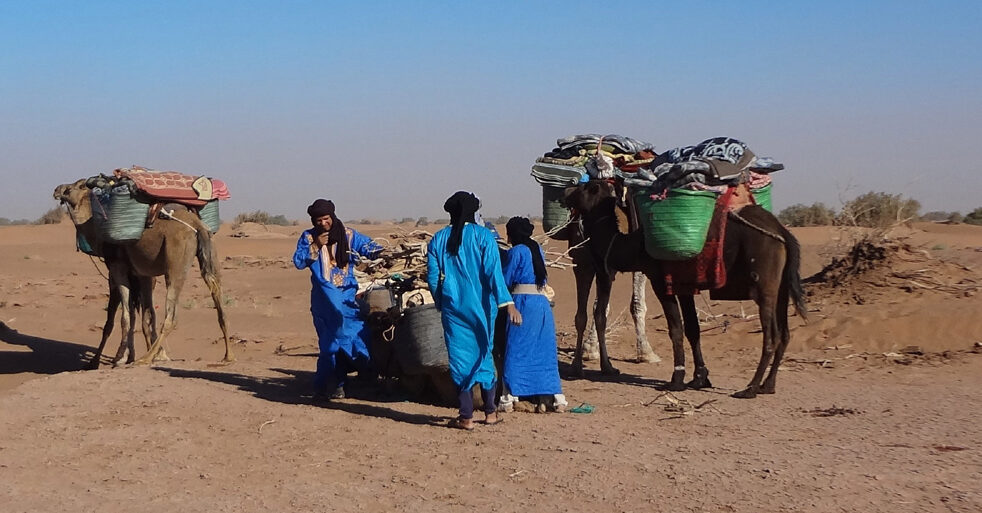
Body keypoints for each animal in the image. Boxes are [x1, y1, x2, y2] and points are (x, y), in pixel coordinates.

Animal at [55, 178, 234, 366]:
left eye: (79, 186)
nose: (57, 189)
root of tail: (197, 225)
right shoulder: (143, 274)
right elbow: (145, 315)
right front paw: (131, 355)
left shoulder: (117, 268)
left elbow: (123, 317)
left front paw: (116, 358)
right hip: (210, 253)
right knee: (219, 302)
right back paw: (228, 356)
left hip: (176, 259)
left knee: (172, 315)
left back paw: (146, 358)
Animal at [564, 179, 812, 396]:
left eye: (586, 187)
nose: (567, 192)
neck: (633, 244)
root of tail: (783, 232)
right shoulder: (684, 285)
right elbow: (693, 329)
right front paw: (700, 378)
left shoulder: (661, 281)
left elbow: (675, 329)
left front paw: (676, 380)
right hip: (781, 287)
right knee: (785, 334)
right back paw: (767, 386)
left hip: (764, 283)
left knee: (771, 336)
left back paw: (750, 388)